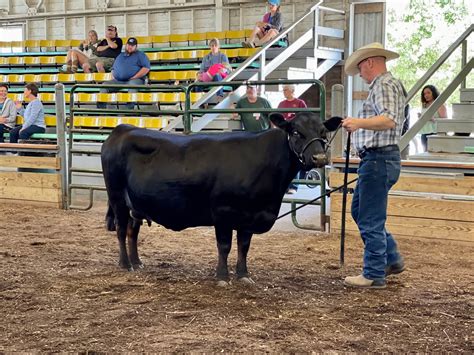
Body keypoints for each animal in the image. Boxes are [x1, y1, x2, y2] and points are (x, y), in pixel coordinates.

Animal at [102, 113, 342, 284]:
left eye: (323, 132)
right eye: (296, 132)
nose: (319, 158)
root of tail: (123, 129)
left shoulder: (250, 215)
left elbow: (244, 246)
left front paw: (243, 275)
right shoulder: (223, 212)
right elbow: (224, 246)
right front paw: (222, 276)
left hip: (136, 204)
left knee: (133, 231)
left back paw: (137, 262)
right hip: (117, 198)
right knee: (122, 230)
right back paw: (126, 264)